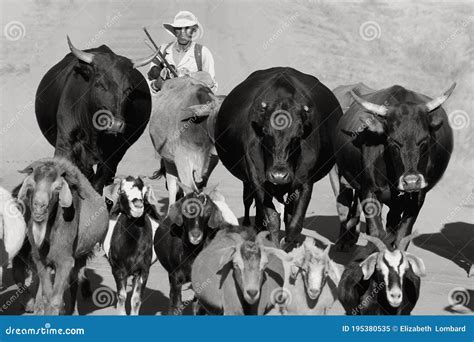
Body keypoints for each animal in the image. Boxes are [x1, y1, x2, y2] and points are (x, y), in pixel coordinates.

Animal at [36, 37, 157, 194]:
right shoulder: (65, 146)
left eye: (129, 88)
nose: (115, 125)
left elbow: (98, 183)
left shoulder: (112, 155)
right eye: (99, 84)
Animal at [103, 176, 161, 316]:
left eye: (144, 192)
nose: (138, 205)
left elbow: (136, 299)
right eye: (122, 191)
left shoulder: (143, 270)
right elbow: (121, 296)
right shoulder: (118, 270)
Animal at [214, 67, 340, 246]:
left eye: (298, 134)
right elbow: (272, 219)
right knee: (251, 205)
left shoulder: (305, 182)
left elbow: (294, 224)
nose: (279, 175)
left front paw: (288, 245)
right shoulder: (257, 179)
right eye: (266, 131)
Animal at [332, 83, 454, 248]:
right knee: (344, 203)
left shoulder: (417, 198)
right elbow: (376, 232)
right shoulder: (369, 190)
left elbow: (402, 235)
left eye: (424, 140)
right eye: (392, 141)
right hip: (343, 176)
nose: (411, 181)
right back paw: (344, 242)